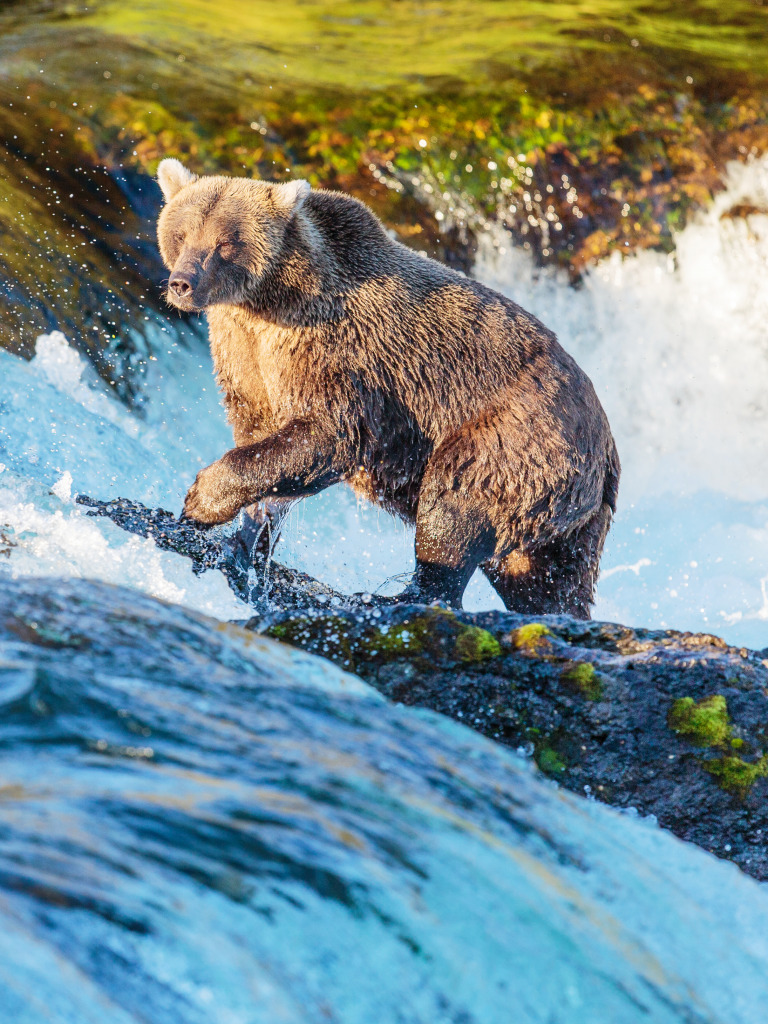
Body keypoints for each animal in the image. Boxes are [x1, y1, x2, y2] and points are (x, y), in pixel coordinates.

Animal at [154, 159, 618, 614]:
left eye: (224, 242)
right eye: (181, 233)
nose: (183, 282)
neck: (264, 303)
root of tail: (607, 447)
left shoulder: (332, 350)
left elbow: (328, 436)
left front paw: (200, 501)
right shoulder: (246, 357)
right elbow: (263, 443)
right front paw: (244, 541)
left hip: (516, 434)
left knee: (454, 506)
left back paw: (398, 595)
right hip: (571, 514)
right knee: (546, 576)